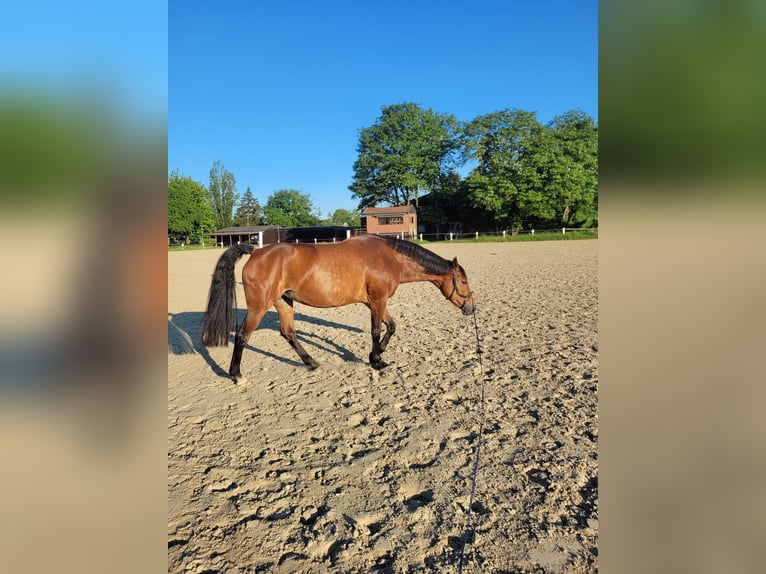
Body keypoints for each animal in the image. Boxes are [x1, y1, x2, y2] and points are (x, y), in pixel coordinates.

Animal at [200, 236, 474, 380]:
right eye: (462, 280)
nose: (471, 307)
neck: (388, 257)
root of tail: (255, 252)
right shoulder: (378, 300)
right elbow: (376, 330)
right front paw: (377, 360)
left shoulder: (376, 301)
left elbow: (392, 326)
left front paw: (378, 354)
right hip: (259, 306)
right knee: (243, 336)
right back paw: (236, 375)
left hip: (283, 302)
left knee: (289, 333)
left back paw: (311, 363)